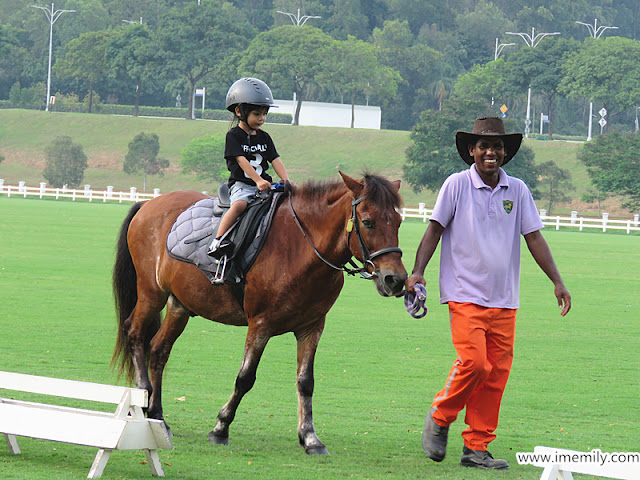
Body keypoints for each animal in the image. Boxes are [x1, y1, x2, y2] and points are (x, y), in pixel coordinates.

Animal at [112, 172, 408, 454]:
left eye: (397, 221)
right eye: (368, 222)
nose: (395, 279)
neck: (300, 248)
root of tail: (148, 204)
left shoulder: (312, 327)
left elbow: (306, 382)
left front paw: (310, 437)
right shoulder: (260, 325)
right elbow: (245, 378)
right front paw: (221, 428)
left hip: (179, 304)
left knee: (158, 349)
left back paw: (158, 416)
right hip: (151, 293)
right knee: (135, 333)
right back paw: (144, 397)